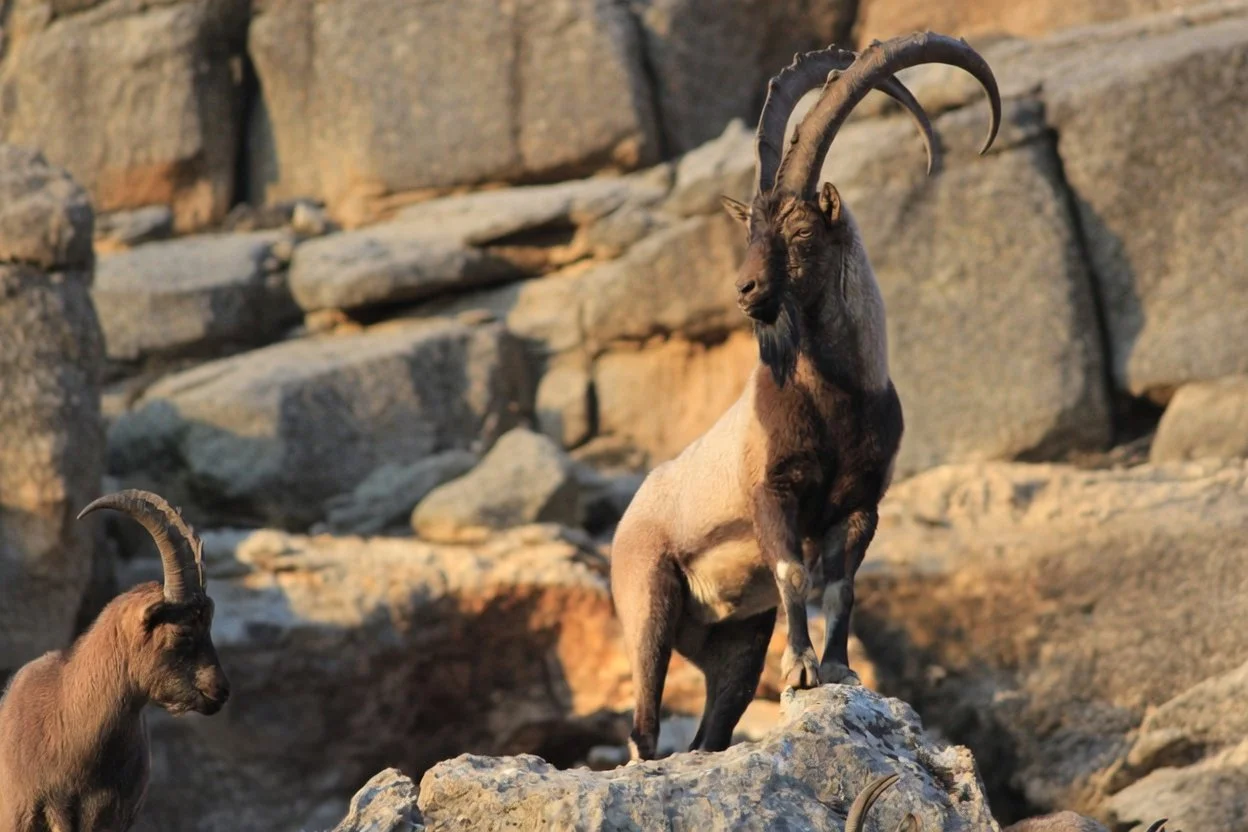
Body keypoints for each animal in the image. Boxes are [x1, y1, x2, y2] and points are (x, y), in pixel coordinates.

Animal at [610, 32, 1001, 760]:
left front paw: (840, 668)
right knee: (644, 723)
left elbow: (842, 588)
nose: (744, 290)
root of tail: (629, 518)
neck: (838, 400)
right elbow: (796, 575)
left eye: (797, 232)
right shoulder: (774, 494)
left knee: (711, 729)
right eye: (750, 233)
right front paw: (801, 667)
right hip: (647, 601)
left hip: (733, 641)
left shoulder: (859, 506)